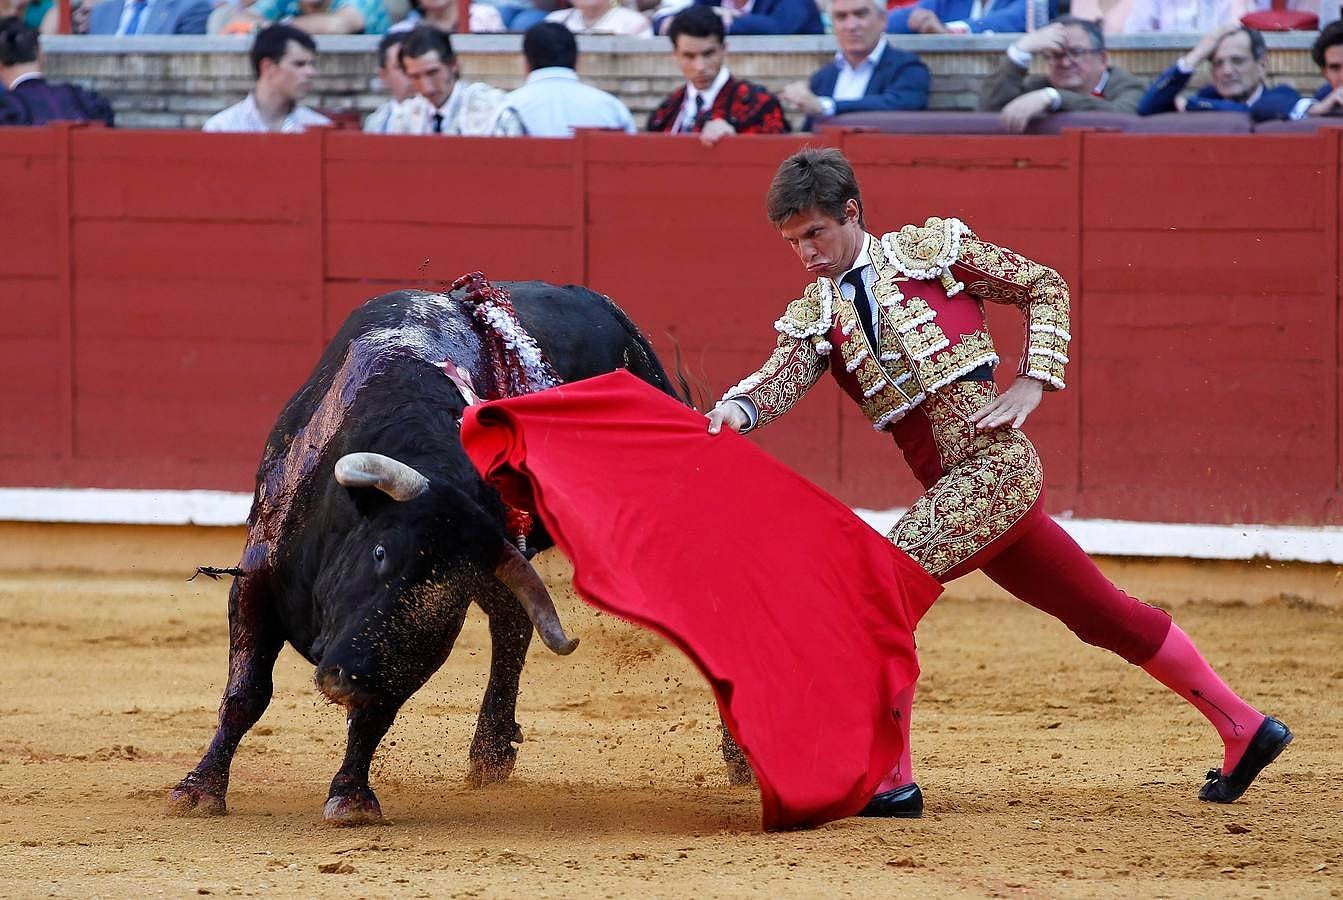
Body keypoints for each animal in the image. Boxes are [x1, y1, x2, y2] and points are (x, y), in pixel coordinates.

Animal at [167, 282, 714, 827]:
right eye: (380, 551)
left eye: (448, 601)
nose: (347, 682)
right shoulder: (256, 581)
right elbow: (247, 693)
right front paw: (199, 789)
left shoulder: (409, 652)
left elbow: (376, 715)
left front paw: (351, 796)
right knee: (513, 625)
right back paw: (492, 752)